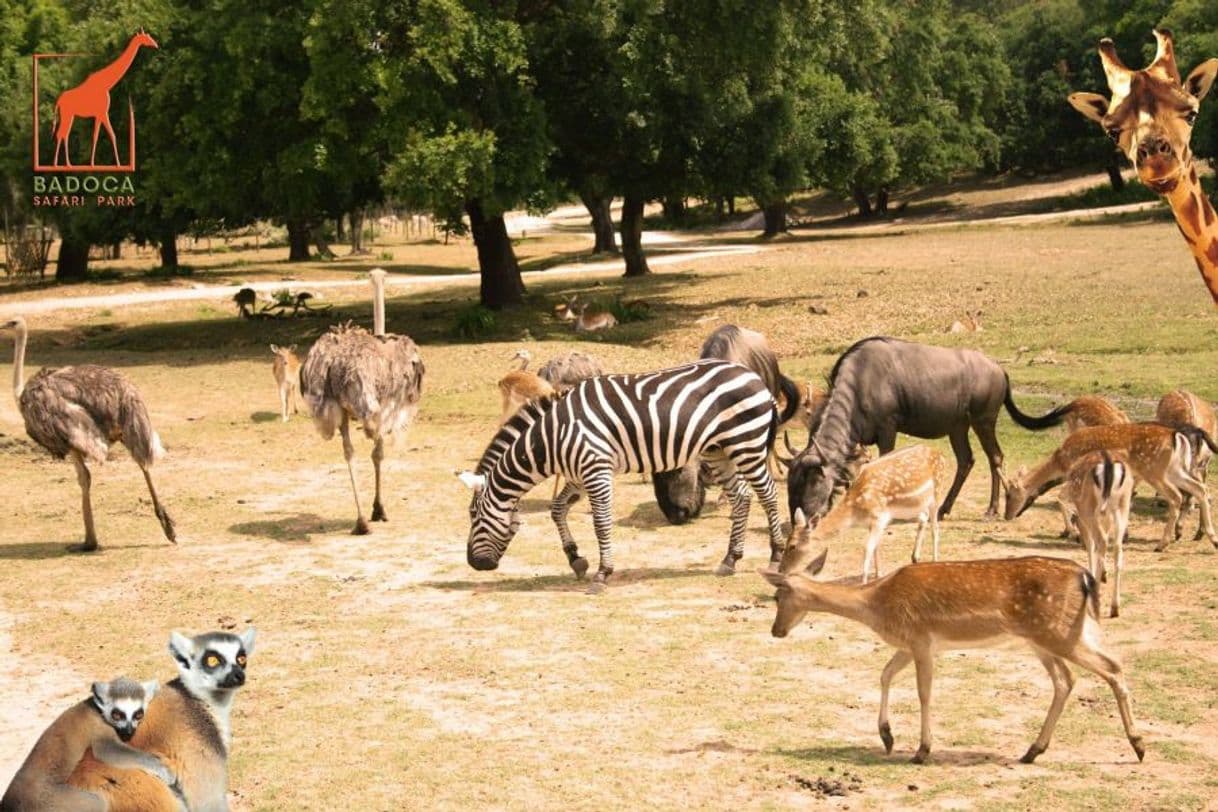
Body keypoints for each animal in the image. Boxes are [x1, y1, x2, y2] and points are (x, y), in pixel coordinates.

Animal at [457, 357, 789, 594]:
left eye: (474, 516)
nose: (474, 564)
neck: (553, 437)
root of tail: (755, 377)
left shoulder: (596, 471)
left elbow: (601, 523)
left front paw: (602, 574)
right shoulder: (580, 473)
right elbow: (557, 508)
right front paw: (576, 559)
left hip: (746, 442)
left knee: (768, 495)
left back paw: (776, 556)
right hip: (718, 450)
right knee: (742, 497)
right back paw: (730, 560)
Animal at [760, 550, 1140, 764]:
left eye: (778, 597)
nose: (776, 631)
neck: (876, 605)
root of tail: (1085, 576)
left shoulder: (921, 640)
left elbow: (924, 693)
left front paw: (921, 751)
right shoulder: (907, 644)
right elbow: (884, 674)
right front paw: (887, 737)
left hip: (1057, 633)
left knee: (1112, 667)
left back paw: (1138, 746)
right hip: (1049, 637)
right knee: (1067, 680)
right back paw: (1032, 751)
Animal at [779, 445, 950, 584]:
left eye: (792, 546)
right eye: (785, 543)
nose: (781, 569)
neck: (855, 511)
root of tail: (940, 454)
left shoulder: (879, 516)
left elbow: (867, 548)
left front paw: (864, 582)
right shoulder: (873, 522)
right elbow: (876, 546)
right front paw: (879, 574)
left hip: (937, 493)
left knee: (935, 527)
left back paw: (935, 560)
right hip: (915, 506)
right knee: (923, 519)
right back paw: (915, 558)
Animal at [998, 418, 1218, 552]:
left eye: (1008, 494)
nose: (1007, 515)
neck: (1061, 461)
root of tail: (1178, 436)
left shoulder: (1076, 475)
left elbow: (1061, 499)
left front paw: (1075, 534)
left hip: (1155, 470)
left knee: (1177, 496)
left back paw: (1162, 544)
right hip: (1175, 470)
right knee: (1201, 489)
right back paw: (1212, 538)